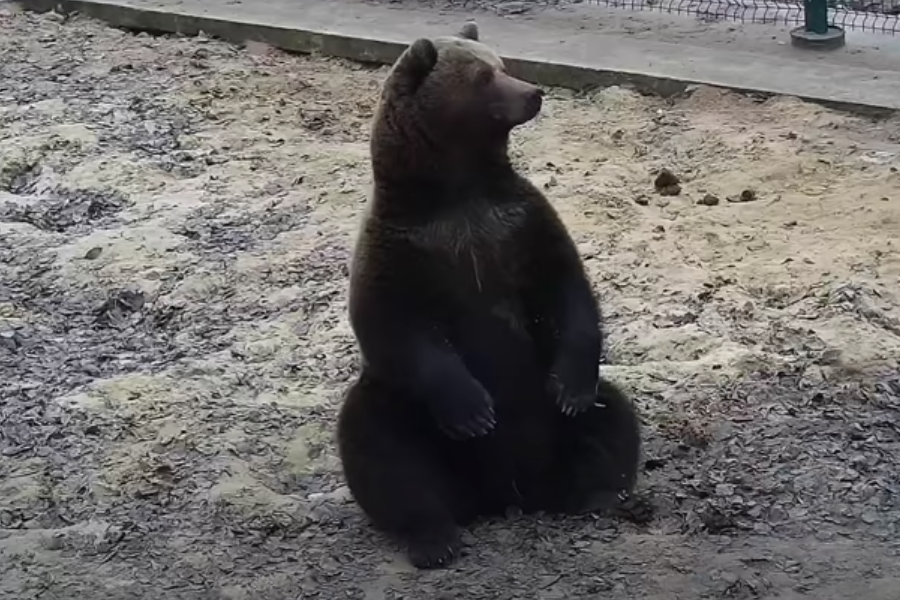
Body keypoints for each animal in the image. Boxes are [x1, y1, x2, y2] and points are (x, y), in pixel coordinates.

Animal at [336, 22, 640, 568]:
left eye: (502, 64)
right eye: (482, 77)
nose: (533, 92)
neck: (460, 190)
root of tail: (506, 497)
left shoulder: (518, 223)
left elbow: (565, 289)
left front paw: (570, 390)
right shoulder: (401, 245)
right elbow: (391, 323)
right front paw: (475, 412)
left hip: (552, 421)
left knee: (612, 419)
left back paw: (596, 494)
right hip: (404, 413)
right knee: (382, 451)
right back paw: (432, 537)